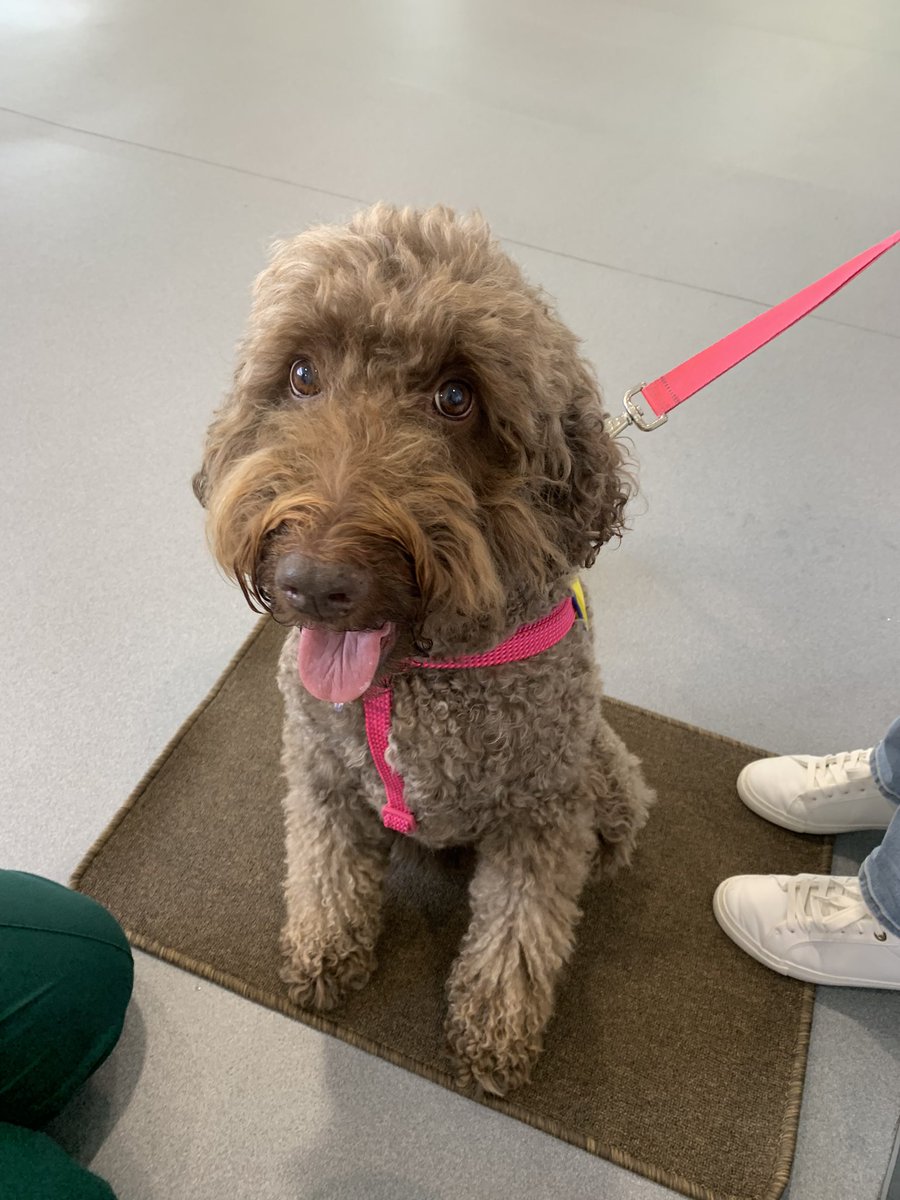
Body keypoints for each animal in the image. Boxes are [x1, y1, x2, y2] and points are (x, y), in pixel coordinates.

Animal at [195, 206, 657, 1099]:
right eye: (301, 374)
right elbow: (324, 870)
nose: (315, 583)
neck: (413, 675)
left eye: (455, 397)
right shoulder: (321, 771)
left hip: (609, 781)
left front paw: (493, 1035)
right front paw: (325, 952)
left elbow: (518, 932)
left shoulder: (542, 811)